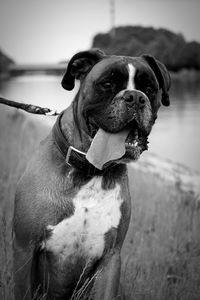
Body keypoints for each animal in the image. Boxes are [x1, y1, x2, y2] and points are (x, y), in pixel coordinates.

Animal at [13, 48, 170, 298]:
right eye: (107, 84)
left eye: (149, 88)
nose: (135, 97)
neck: (91, 171)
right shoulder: (23, 248)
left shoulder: (110, 259)